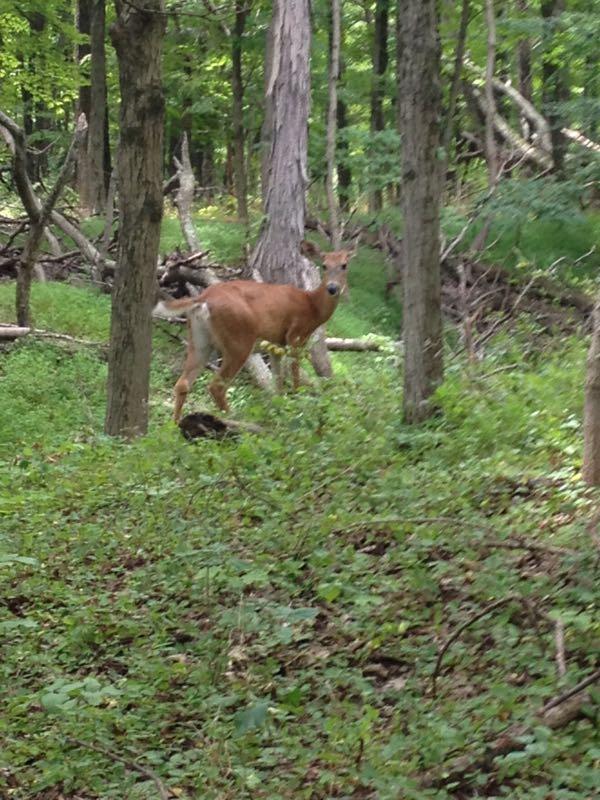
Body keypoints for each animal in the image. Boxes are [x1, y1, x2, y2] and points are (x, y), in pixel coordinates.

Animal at [153, 239, 356, 421]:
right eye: (324, 265)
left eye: (344, 265)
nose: (332, 288)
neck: (312, 306)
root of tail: (203, 298)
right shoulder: (295, 336)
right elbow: (295, 376)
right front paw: (297, 406)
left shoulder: (276, 344)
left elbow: (278, 382)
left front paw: (280, 410)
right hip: (239, 340)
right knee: (216, 386)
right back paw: (235, 421)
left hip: (199, 339)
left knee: (182, 383)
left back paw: (175, 426)